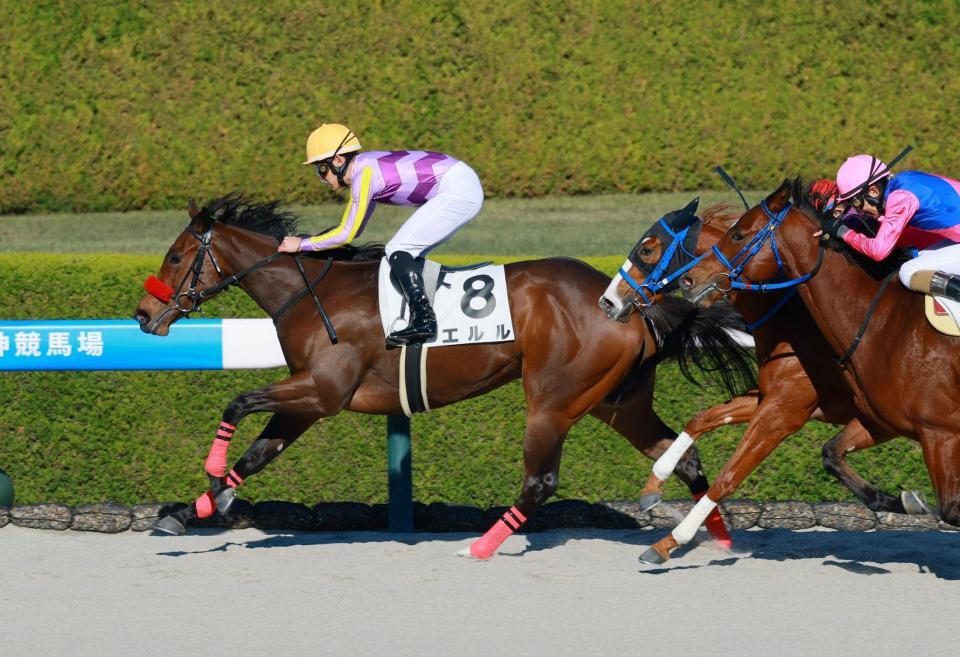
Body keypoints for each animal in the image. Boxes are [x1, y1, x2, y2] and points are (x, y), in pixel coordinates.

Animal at [133, 194, 755, 558]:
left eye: (174, 256)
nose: (142, 314)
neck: (312, 294)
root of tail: (629, 303)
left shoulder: (324, 391)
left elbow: (236, 402)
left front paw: (211, 482)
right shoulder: (307, 400)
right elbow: (257, 454)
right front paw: (191, 511)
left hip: (553, 398)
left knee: (540, 482)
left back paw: (482, 545)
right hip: (616, 401)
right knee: (681, 456)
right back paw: (713, 535)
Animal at [641, 178, 960, 563]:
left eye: (646, 251)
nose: (689, 281)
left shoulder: (784, 412)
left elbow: (729, 475)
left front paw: (670, 540)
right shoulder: (867, 415)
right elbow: (706, 418)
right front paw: (653, 486)